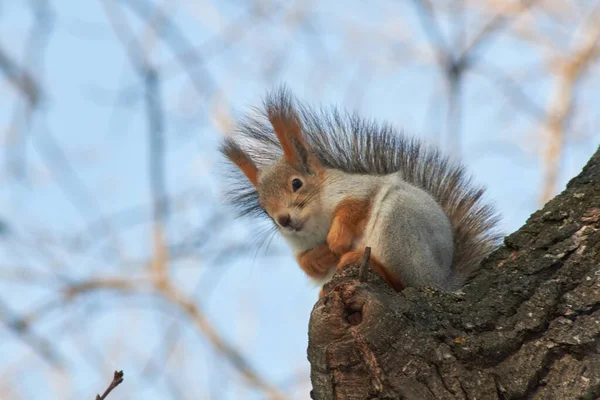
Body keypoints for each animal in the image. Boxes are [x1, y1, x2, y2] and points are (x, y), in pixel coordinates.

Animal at [220, 86, 502, 294]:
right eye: (264, 209)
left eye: (296, 183)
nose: (284, 220)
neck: (316, 222)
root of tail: (442, 281)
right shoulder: (299, 245)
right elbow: (306, 265)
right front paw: (321, 256)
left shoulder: (356, 188)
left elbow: (355, 206)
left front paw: (336, 240)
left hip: (400, 226)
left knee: (406, 282)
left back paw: (365, 262)